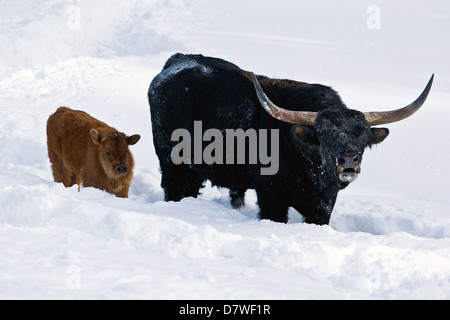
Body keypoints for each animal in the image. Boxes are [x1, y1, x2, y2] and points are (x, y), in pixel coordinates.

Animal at [149, 53, 432, 225]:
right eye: (324, 136)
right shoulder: (271, 197)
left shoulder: (323, 205)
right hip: (172, 162)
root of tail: (176, 61)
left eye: (361, 136)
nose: (348, 161)